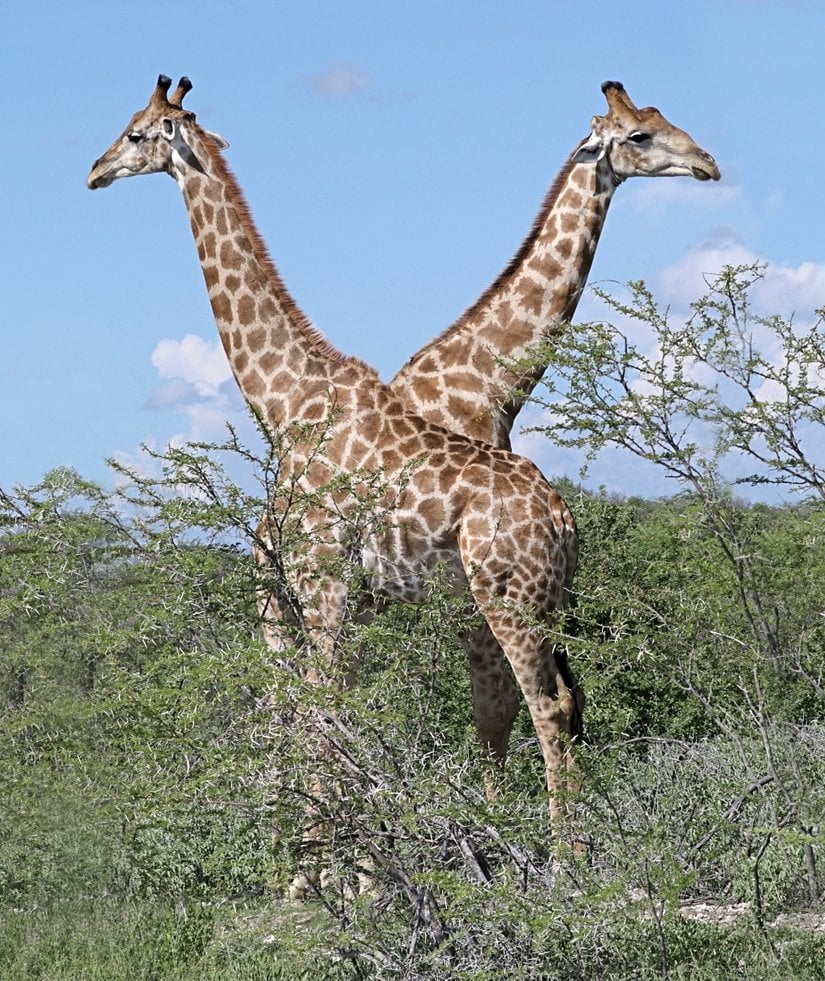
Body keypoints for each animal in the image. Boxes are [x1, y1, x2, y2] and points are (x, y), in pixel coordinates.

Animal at [87, 77, 581, 832]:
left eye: (137, 133)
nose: (94, 171)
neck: (286, 399)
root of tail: (560, 516)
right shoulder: (326, 597)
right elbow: (330, 713)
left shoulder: (320, 583)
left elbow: (322, 714)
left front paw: (319, 859)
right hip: (547, 602)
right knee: (561, 704)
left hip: (508, 600)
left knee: (544, 706)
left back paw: (564, 855)